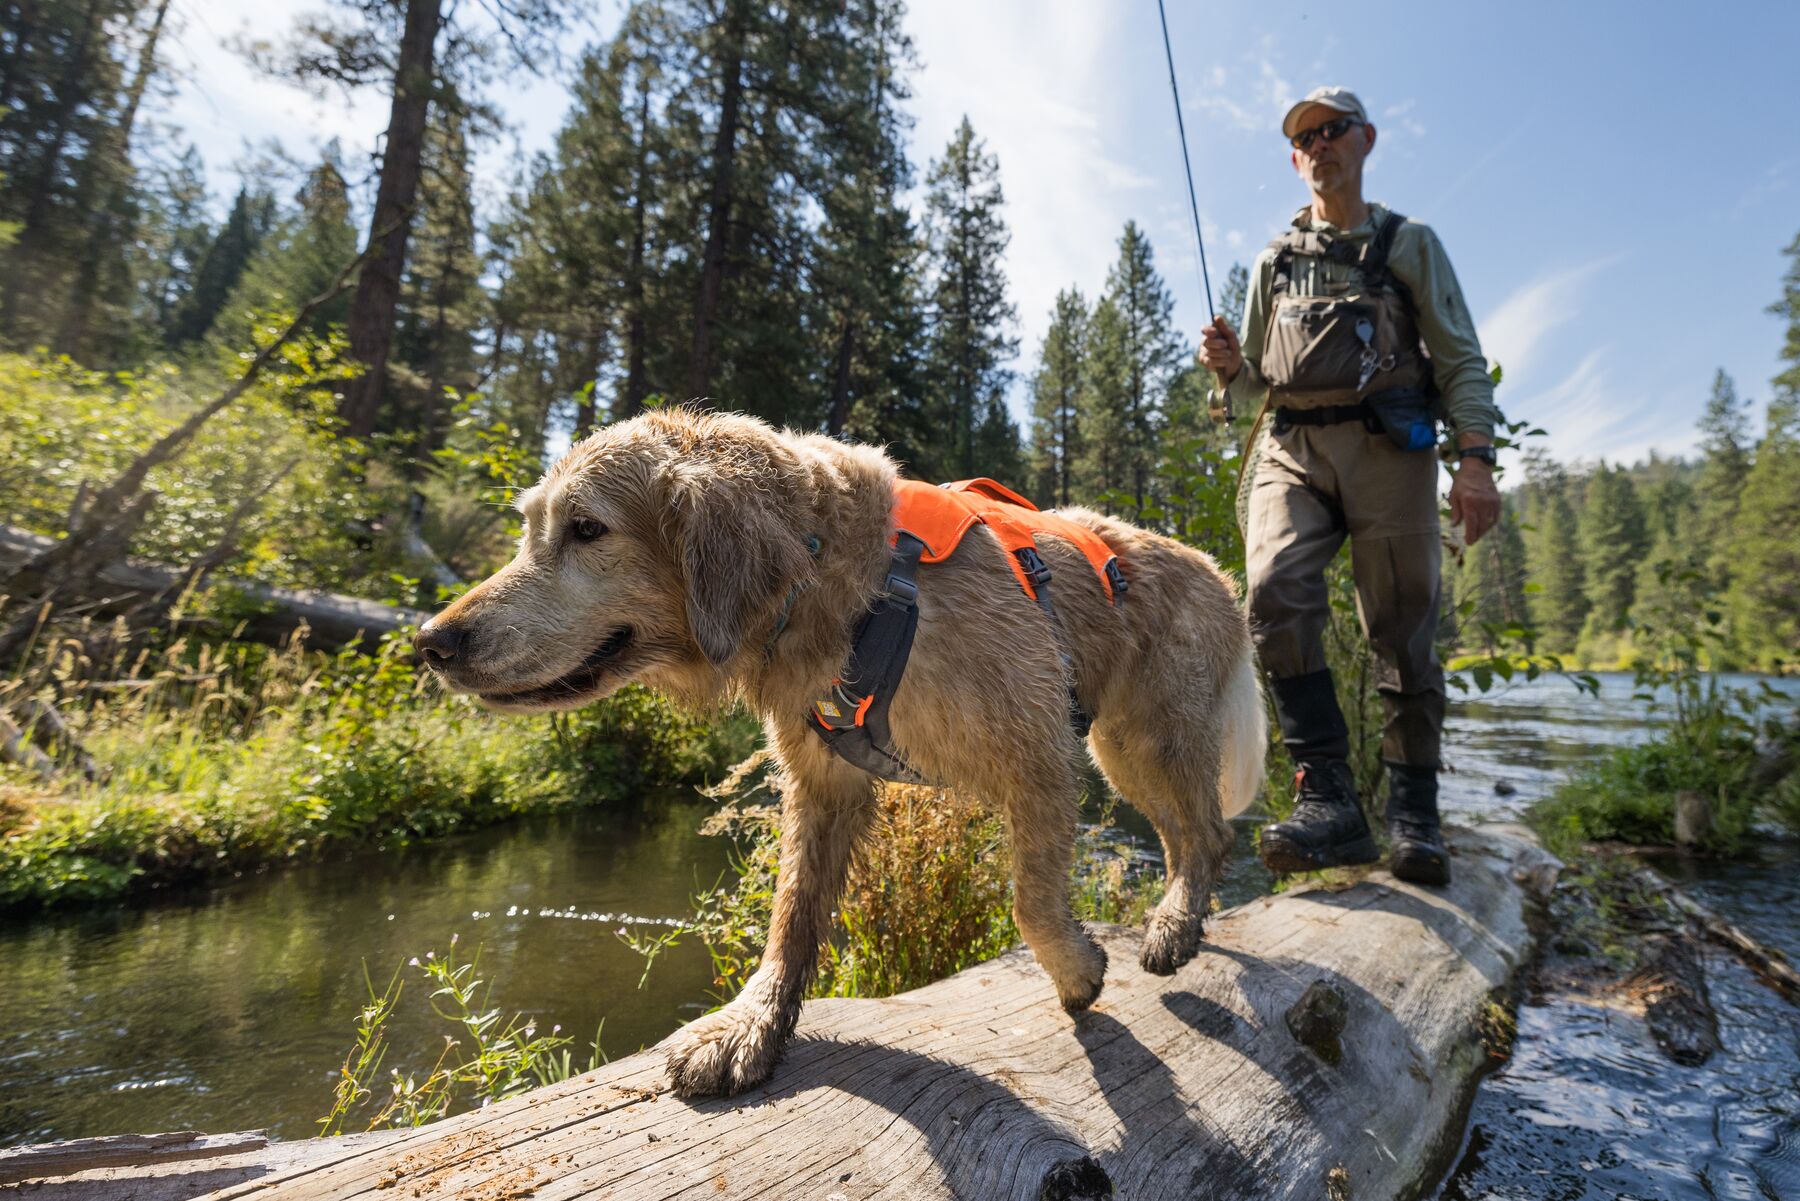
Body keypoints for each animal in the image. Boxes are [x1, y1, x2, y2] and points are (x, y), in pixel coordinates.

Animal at [419, 406, 1267, 1101]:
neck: (839, 578)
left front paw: (1078, 970)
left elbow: (1029, 901)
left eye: (587, 528)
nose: (432, 641)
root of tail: (1217, 568)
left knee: (1207, 831)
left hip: (1150, 734)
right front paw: (752, 1025)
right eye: (531, 527)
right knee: (1188, 833)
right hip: (1123, 749)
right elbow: (791, 918)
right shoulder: (822, 779)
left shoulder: (1039, 752)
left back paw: (1173, 924)